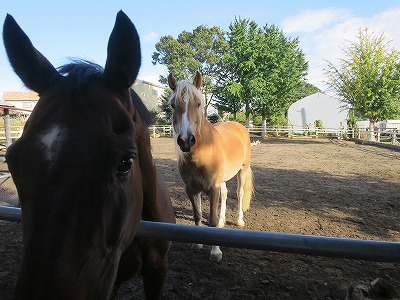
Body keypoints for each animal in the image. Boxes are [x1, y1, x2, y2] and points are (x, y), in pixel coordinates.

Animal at [169, 71, 253, 262]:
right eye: (172, 105)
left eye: (198, 103)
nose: (186, 140)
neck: (201, 154)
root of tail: (238, 125)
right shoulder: (191, 190)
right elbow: (198, 215)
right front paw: (197, 244)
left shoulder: (212, 189)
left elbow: (212, 220)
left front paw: (215, 252)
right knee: (225, 194)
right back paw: (223, 221)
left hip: (242, 170)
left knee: (239, 193)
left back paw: (239, 220)